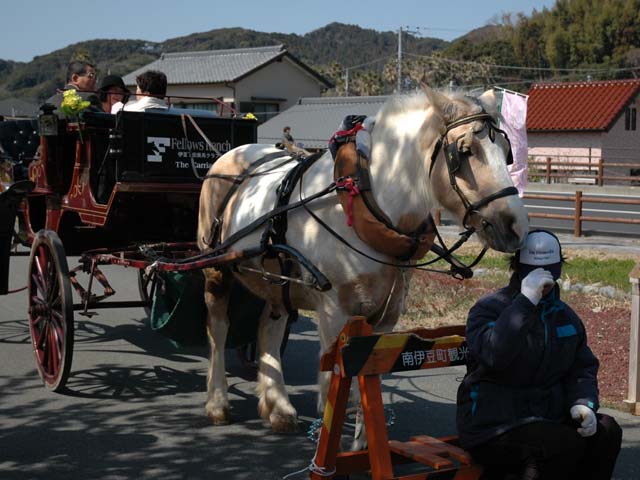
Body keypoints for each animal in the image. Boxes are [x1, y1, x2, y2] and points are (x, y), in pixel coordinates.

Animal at [198, 86, 528, 436]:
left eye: (507, 152)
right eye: (464, 152)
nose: (516, 227)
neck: (367, 203)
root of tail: (231, 154)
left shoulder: (385, 315)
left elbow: (365, 387)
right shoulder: (334, 312)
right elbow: (336, 390)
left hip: (277, 276)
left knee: (269, 328)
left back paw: (279, 408)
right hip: (216, 266)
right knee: (218, 328)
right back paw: (217, 403)